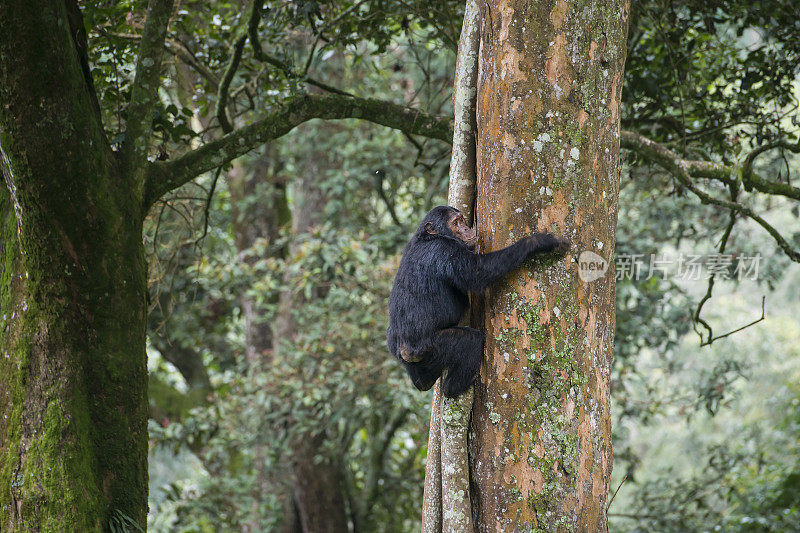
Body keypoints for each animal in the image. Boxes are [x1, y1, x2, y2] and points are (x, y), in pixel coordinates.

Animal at [386, 206, 568, 396]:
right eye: (456, 223)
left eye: (462, 220)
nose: (467, 228)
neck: (431, 236)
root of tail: (405, 351)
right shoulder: (446, 250)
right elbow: (479, 272)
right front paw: (539, 242)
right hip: (431, 347)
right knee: (470, 341)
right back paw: (454, 387)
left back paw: (423, 380)